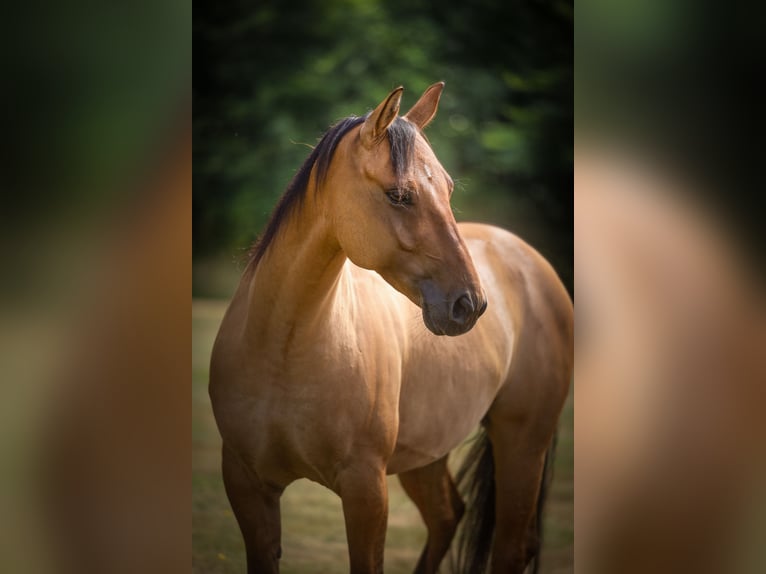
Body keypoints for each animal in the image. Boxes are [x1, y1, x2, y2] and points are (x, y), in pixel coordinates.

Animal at [209, 83, 573, 574]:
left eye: (448, 189)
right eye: (400, 195)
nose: (470, 305)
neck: (282, 349)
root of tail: (527, 257)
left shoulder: (366, 489)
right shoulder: (248, 485)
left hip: (522, 444)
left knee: (511, 546)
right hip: (429, 453)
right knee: (446, 516)